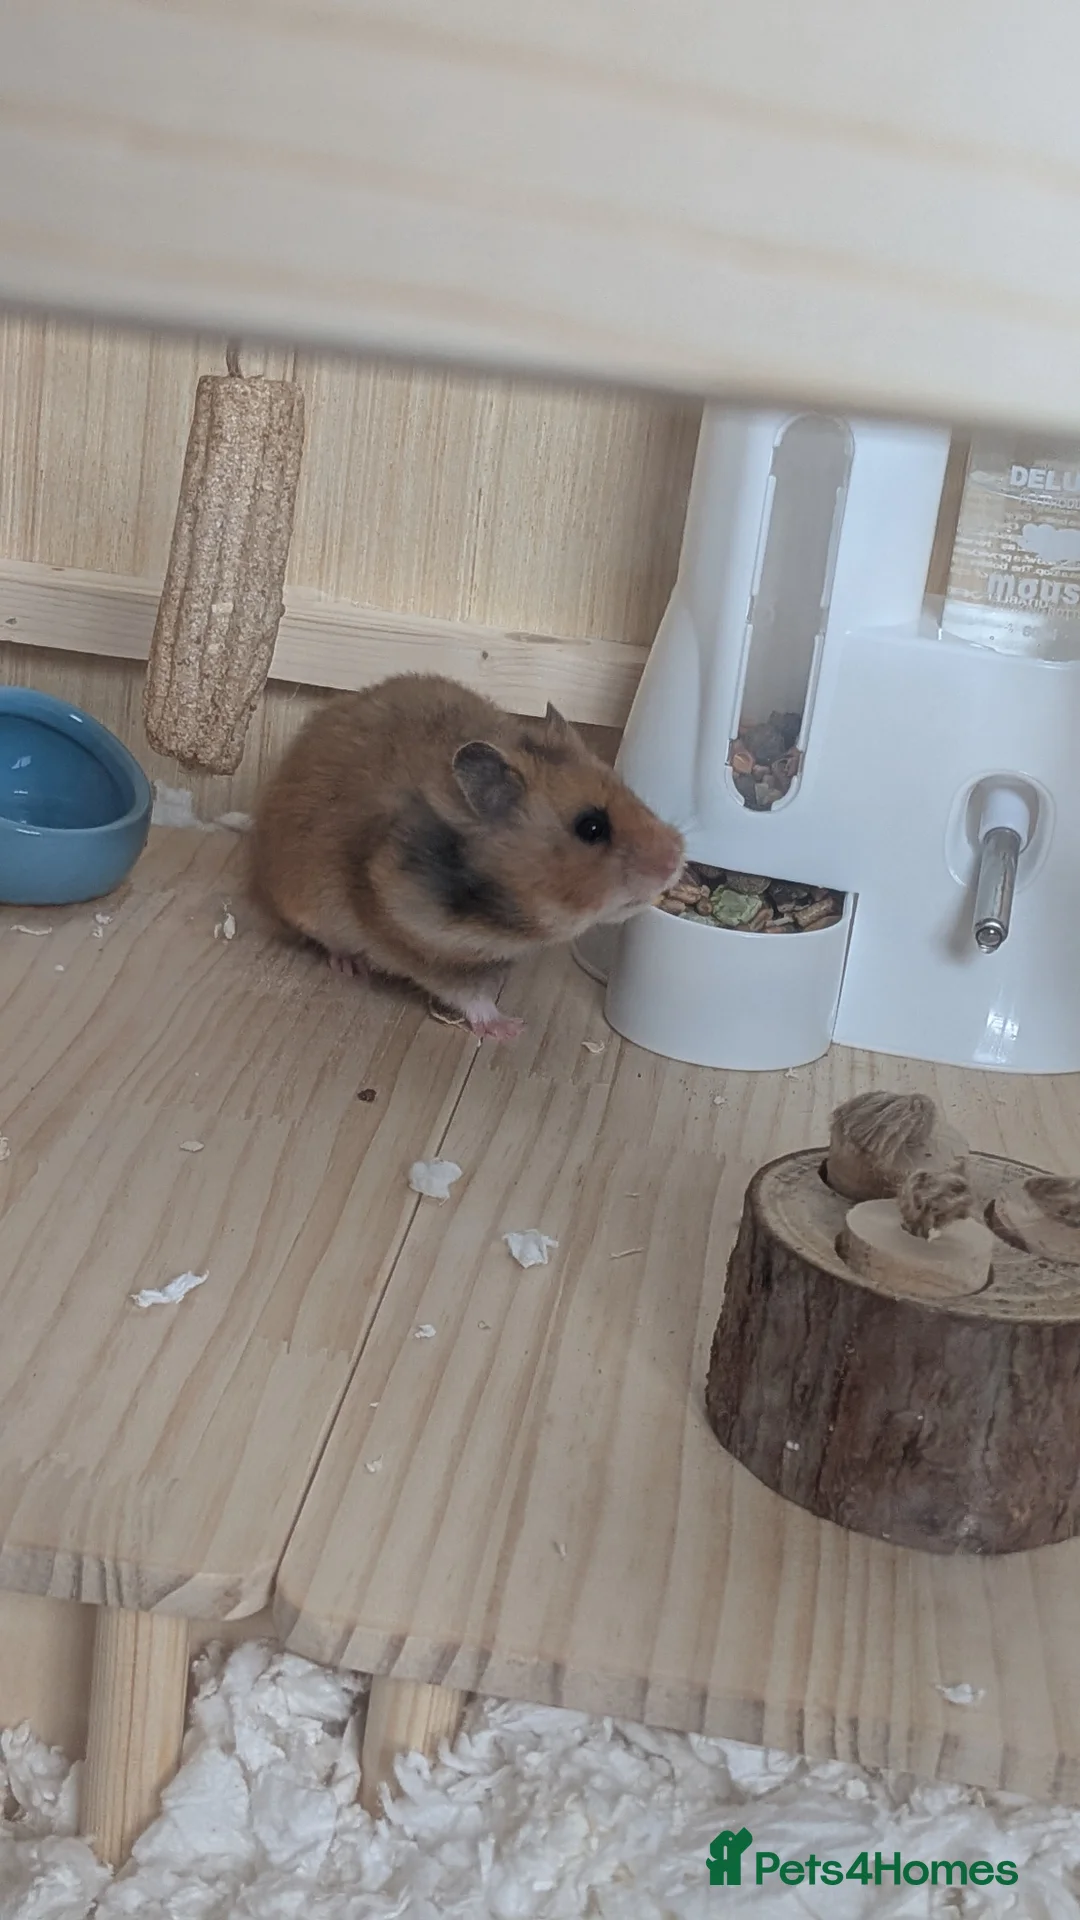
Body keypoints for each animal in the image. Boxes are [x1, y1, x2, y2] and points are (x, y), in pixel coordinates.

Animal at [250, 673, 684, 1041]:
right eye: (591, 827)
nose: (678, 858)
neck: (508, 914)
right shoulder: (421, 944)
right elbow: (470, 996)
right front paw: (512, 1029)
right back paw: (350, 966)